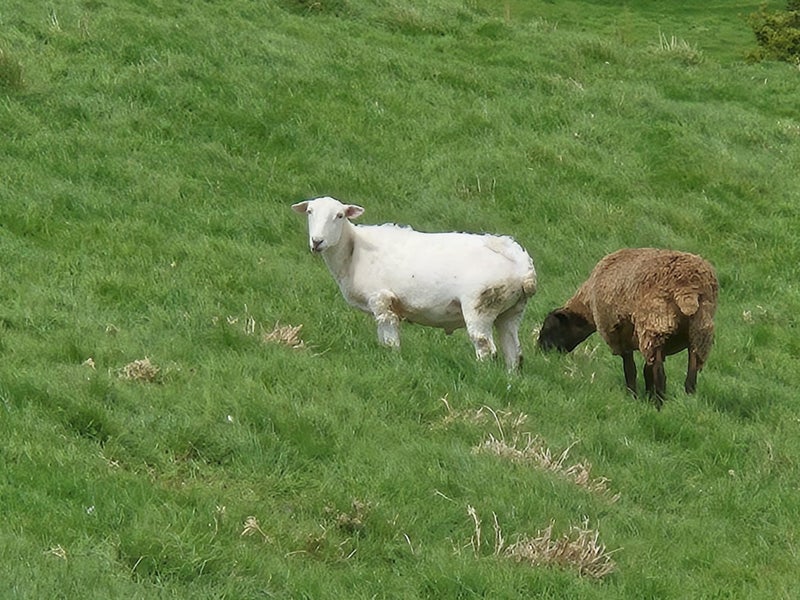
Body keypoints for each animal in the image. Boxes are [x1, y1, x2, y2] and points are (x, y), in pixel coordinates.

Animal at [291, 196, 537, 370]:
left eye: (340, 215)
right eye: (310, 212)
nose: (317, 241)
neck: (354, 250)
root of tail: (522, 265)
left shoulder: (382, 300)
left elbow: (390, 342)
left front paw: (394, 363)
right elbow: (383, 340)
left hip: (479, 305)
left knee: (486, 347)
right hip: (512, 310)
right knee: (514, 352)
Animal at [537, 248, 718, 408]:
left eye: (551, 329)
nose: (540, 351)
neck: (588, 305)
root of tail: (688, 289)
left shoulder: (619, 335)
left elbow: (631, 370)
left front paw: (633, 396)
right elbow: (646, 371)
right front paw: (646, 396)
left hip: (655, 324)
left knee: (661, 375)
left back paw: (660, 405)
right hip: (698, 332)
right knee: (691, 378)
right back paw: (688, 403)